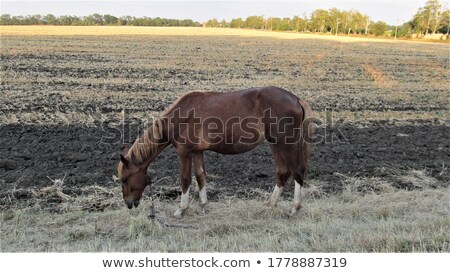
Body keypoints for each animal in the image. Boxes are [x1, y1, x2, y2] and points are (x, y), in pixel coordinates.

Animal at [116, 85, 312, 217]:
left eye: (125, 179)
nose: (129, 204)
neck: (181, 114)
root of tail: (295, 99)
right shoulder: (197, 152)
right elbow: (200, 177)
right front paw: (203, 205)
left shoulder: (184, 152)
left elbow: (185, 179)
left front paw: (181, 209)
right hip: (275, 144)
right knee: (282, 173)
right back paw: (270, 204)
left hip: (286, 144)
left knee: (297, 172)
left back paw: (295, 208)